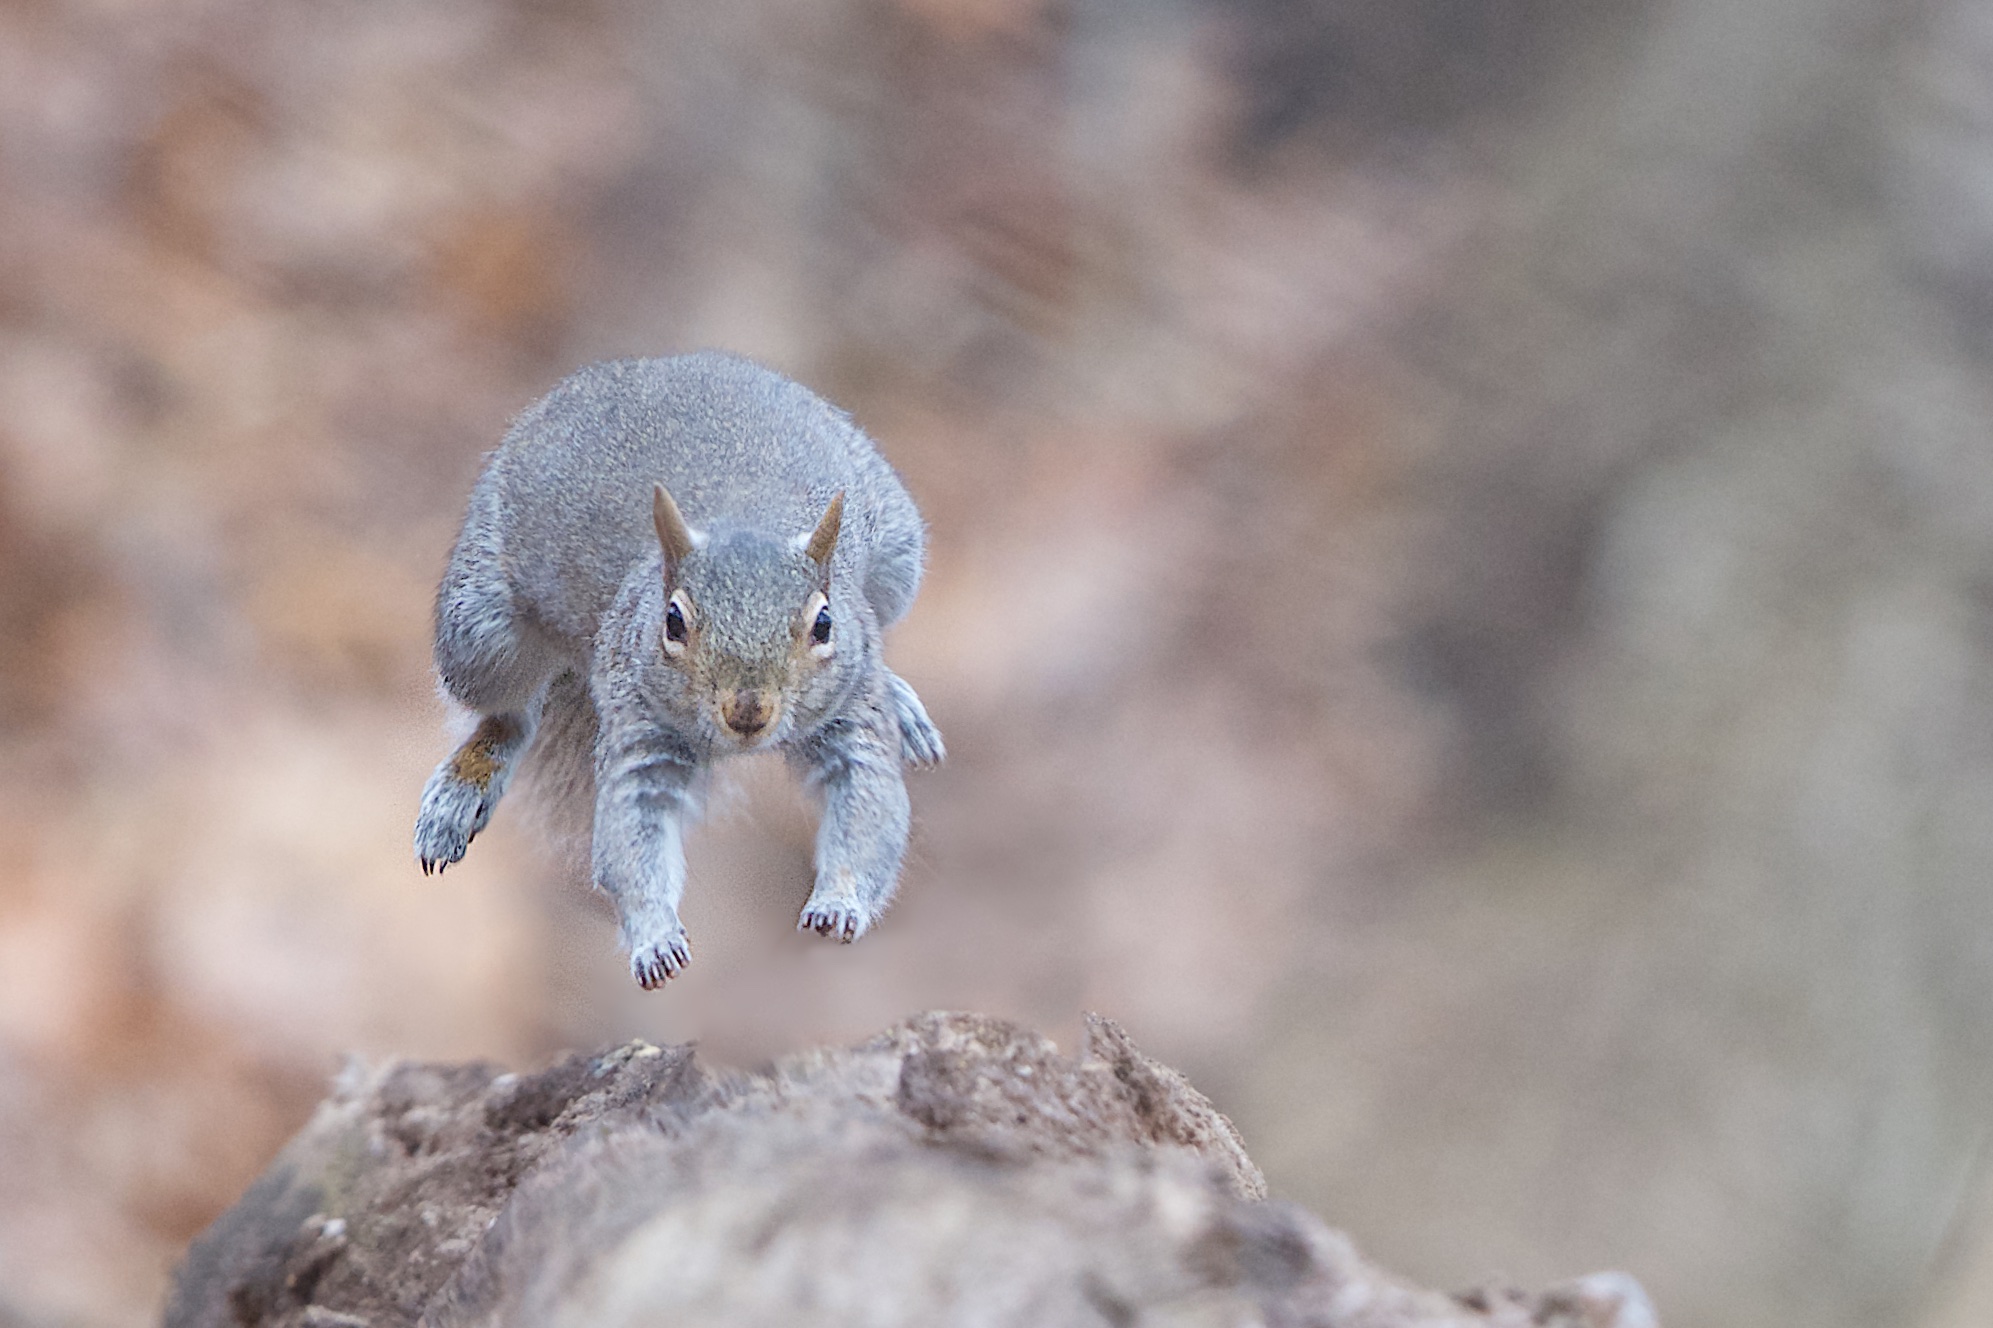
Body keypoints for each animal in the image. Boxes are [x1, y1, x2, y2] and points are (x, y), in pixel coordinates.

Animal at [413, 352, 944, 989]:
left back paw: (904, 704)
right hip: (480, 634)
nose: (748, 711)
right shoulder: (640, 726)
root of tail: (652, 364)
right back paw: (460, 790)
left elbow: (867, 799)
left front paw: (838, 902)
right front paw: (654, 935)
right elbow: (633, 828)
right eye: (673, 621)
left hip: (897, 552)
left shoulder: (851, 713)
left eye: (824, 623)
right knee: (510, 712)